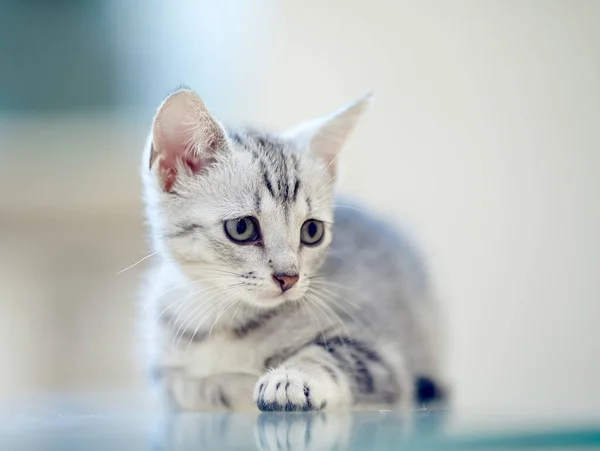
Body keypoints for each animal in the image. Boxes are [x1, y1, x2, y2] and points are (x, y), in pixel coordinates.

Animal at [141, 89, 446, 414]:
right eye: (241, 227)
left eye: (312, 231)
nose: (289, 278)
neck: (223, 318)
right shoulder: (164, 376)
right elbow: (187, 388)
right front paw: (220, 386)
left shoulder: (384, 357)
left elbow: (332, 355)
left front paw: (291, 377)